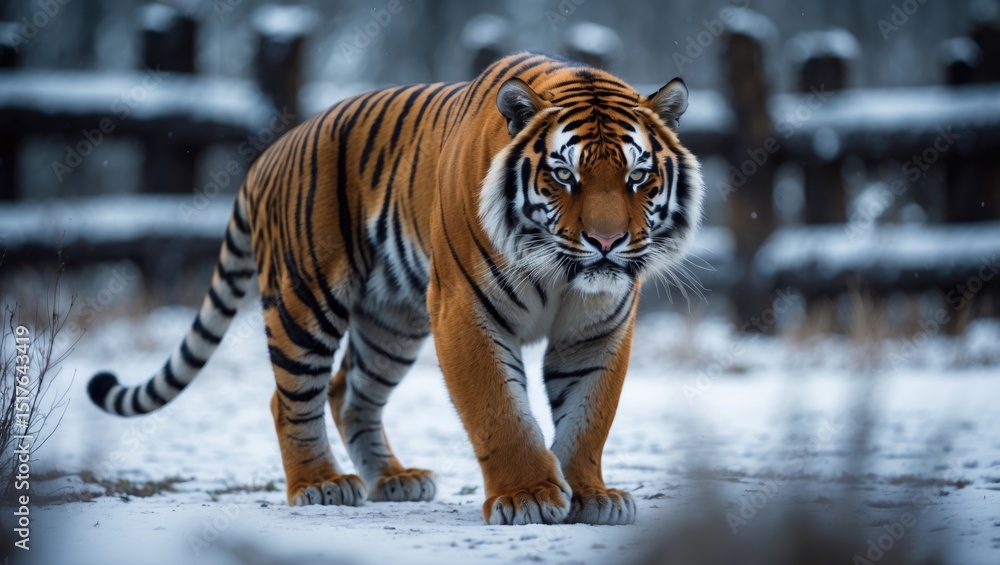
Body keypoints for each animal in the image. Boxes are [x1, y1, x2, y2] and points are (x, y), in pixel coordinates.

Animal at [87, 52, 705, 526]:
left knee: (348, 393)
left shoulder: (598, 328)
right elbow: (499, 411)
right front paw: (526, 497)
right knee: (290, 397)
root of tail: (271, 152)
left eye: (637, 176)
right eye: (563, 175)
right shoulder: (464, 311)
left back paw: (393, 478)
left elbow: (588, 418)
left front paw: (592, 495)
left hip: (393, 322)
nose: (607, 241)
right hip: (304, 301)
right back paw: (319, 484)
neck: (562, 273)